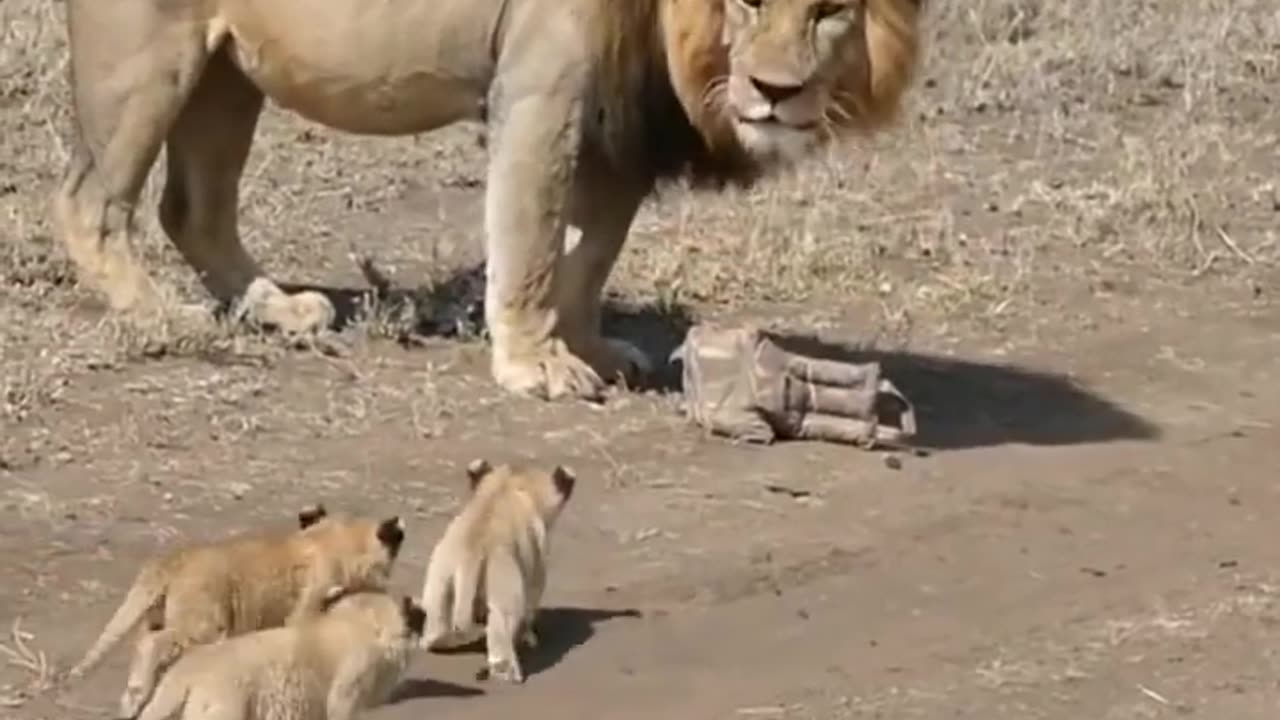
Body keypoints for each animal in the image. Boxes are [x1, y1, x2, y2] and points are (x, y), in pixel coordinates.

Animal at [55, 0, 926, 399]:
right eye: (742, 3)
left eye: (831, 12)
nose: (776, 94)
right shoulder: (542, 90)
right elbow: (533, 242)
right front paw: (536, 364)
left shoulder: (612, 129)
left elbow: (589, 255)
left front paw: (590, 350)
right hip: (148, 56)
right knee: (90, 201)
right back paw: (160, 315)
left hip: (232, 69)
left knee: (192, 208)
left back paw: (276, 307)